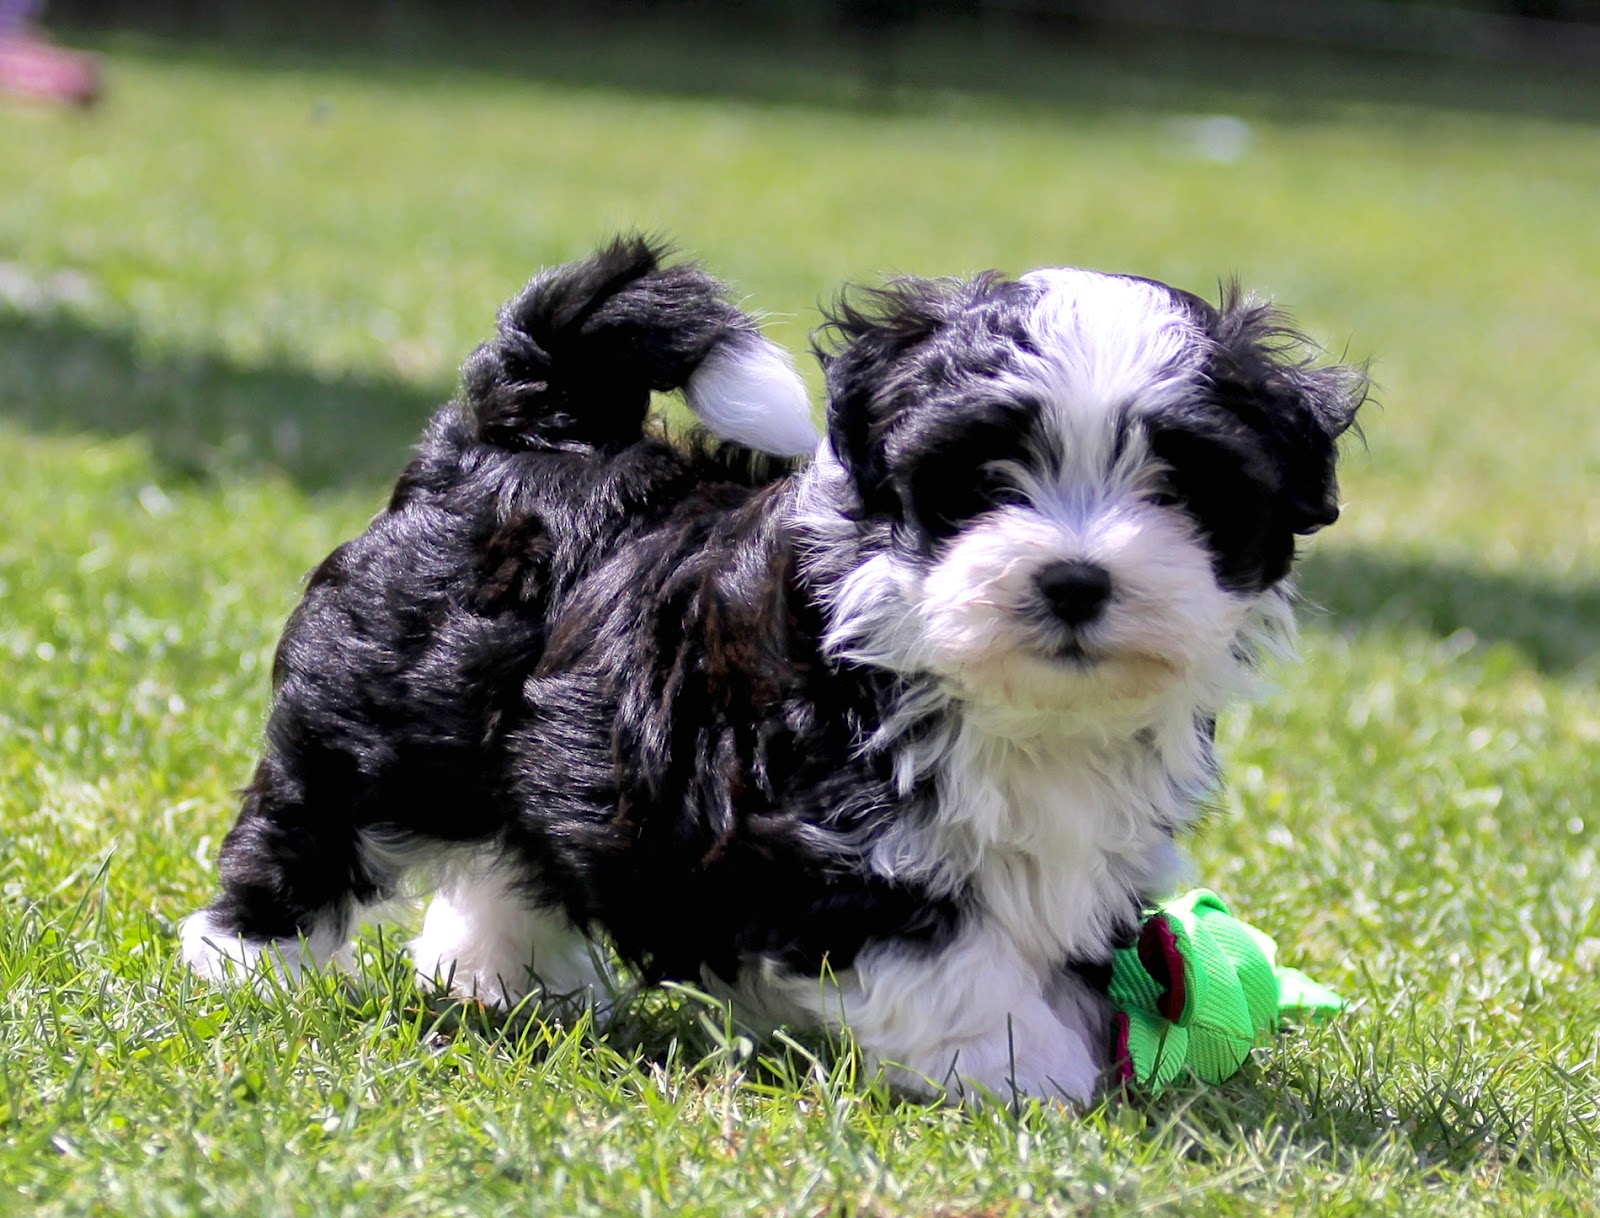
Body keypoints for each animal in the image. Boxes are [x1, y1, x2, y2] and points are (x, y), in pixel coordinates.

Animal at [187, 232, 1363, 1094]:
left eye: (1180, 482)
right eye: (983, 479)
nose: (1074, 580)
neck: (1016, 704)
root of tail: (526, 431)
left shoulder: (1086, 854)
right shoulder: (829, 838)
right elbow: (954, 968)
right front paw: (1039, 1077)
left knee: (525, 843)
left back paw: (501, 976)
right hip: (387, 706)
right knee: (311, 819)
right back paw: (246, 966)